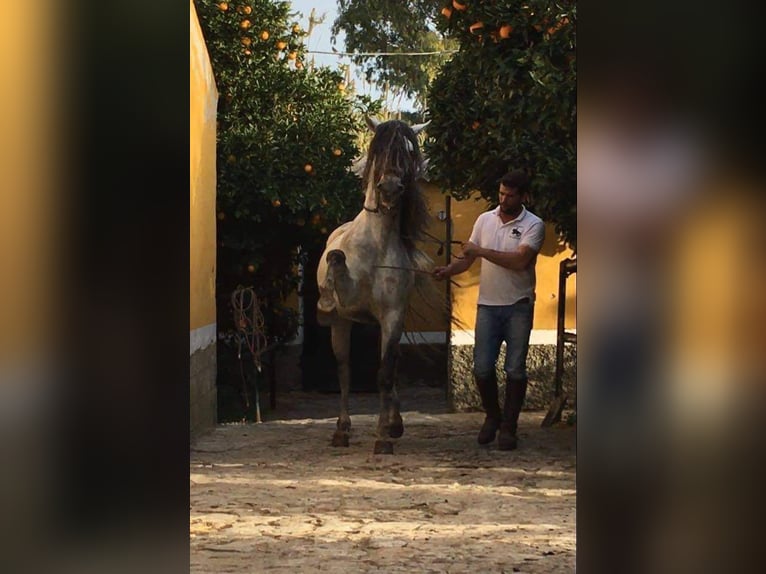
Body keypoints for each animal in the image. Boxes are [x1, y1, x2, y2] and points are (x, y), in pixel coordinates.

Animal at [316, 117, 431, 454]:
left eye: (408, 151)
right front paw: (326, 295)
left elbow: (385, 373)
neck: (376, 247)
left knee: (389, 366)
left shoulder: (392, 316)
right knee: (344, 370)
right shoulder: (349, 304)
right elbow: (337, 258)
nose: (390, 188)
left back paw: (394, 423)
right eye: (378, 149)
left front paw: (384, 434)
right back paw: (341, 431)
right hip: (341, 325)